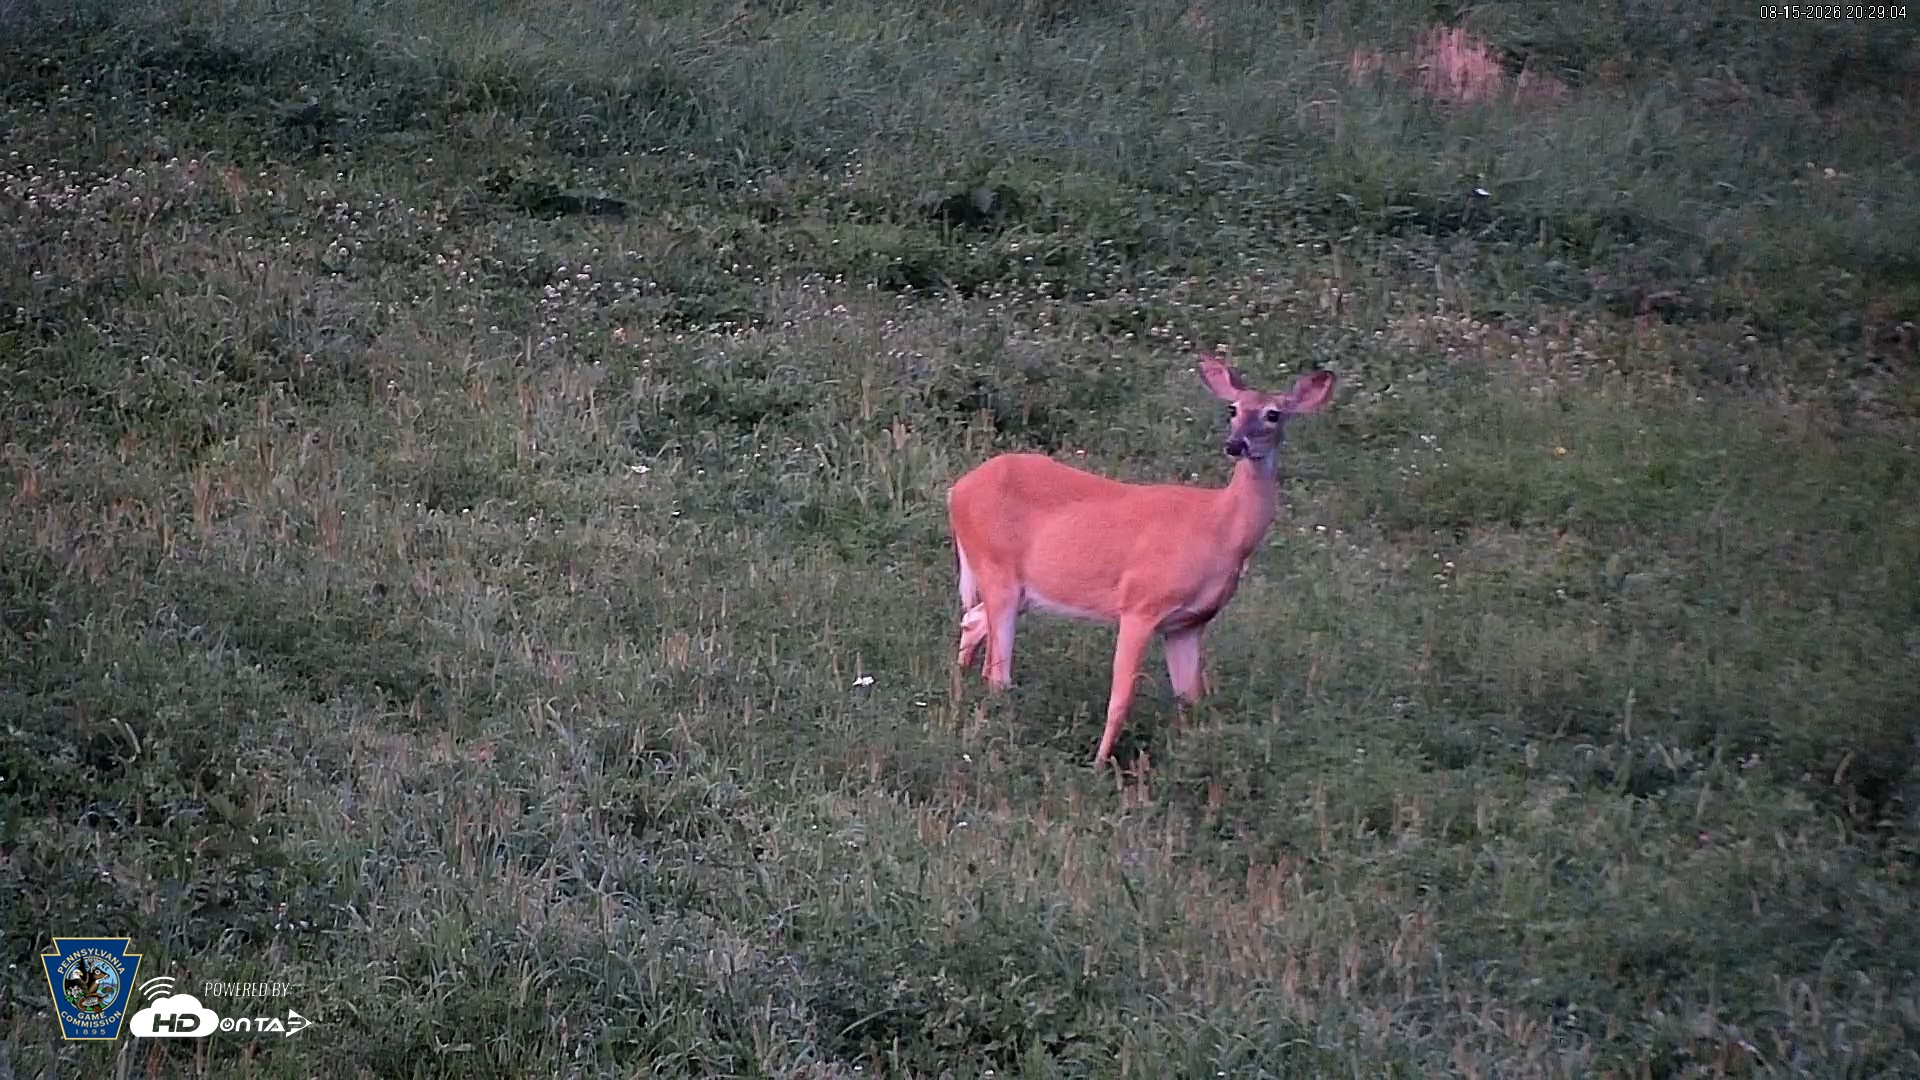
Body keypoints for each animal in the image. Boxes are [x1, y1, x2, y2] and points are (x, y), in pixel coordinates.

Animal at [946, 355, 1335, 768]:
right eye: (1233, 409)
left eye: (1273, 414)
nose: (1235, 444)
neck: (1221, 530)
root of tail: (957, 490)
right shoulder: (1140, 603)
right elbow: (1120, 699)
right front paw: (1099, 766)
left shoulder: (1189, 623)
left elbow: (1190, 701)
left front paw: (1189, 756)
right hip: (996, 567)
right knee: (997, 670)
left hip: (1020, 588)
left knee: (973, 622)